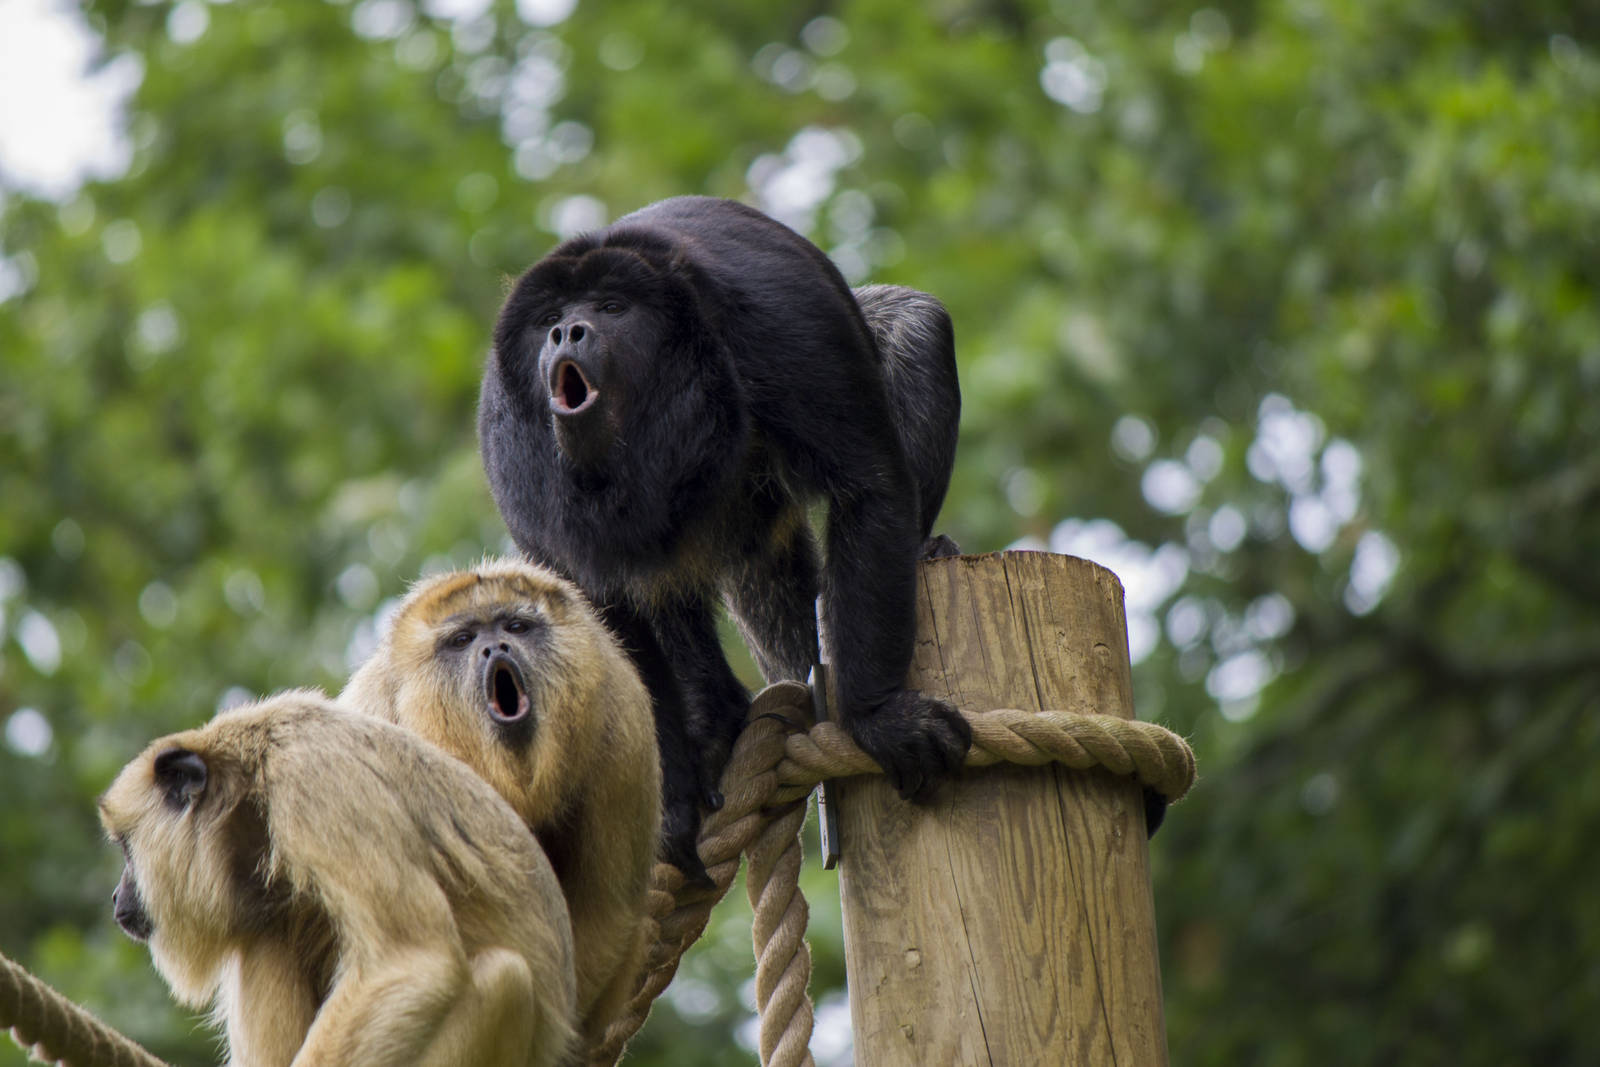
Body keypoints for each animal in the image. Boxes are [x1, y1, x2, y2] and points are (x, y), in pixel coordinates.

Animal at [98, 690, 578, 1067]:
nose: (116, 895)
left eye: (125, 849)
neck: (253, 780)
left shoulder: (313, 781)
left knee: (505, 981)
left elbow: (414, 960)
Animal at [340, 559, 660, 1052]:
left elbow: (608, 907)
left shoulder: (623, 723)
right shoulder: (375, 723)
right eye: (464, 639)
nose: (495, 647)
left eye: (515, 626)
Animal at [478, 195, 972, 880]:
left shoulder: (779, 326)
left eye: (611, 308)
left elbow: (868, 485)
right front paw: (671, 803)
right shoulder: (508, 447)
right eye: (549, 319)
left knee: (917, 324)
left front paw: (877, 718)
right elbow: (593, 609)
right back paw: (715, 722)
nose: (566, 332)